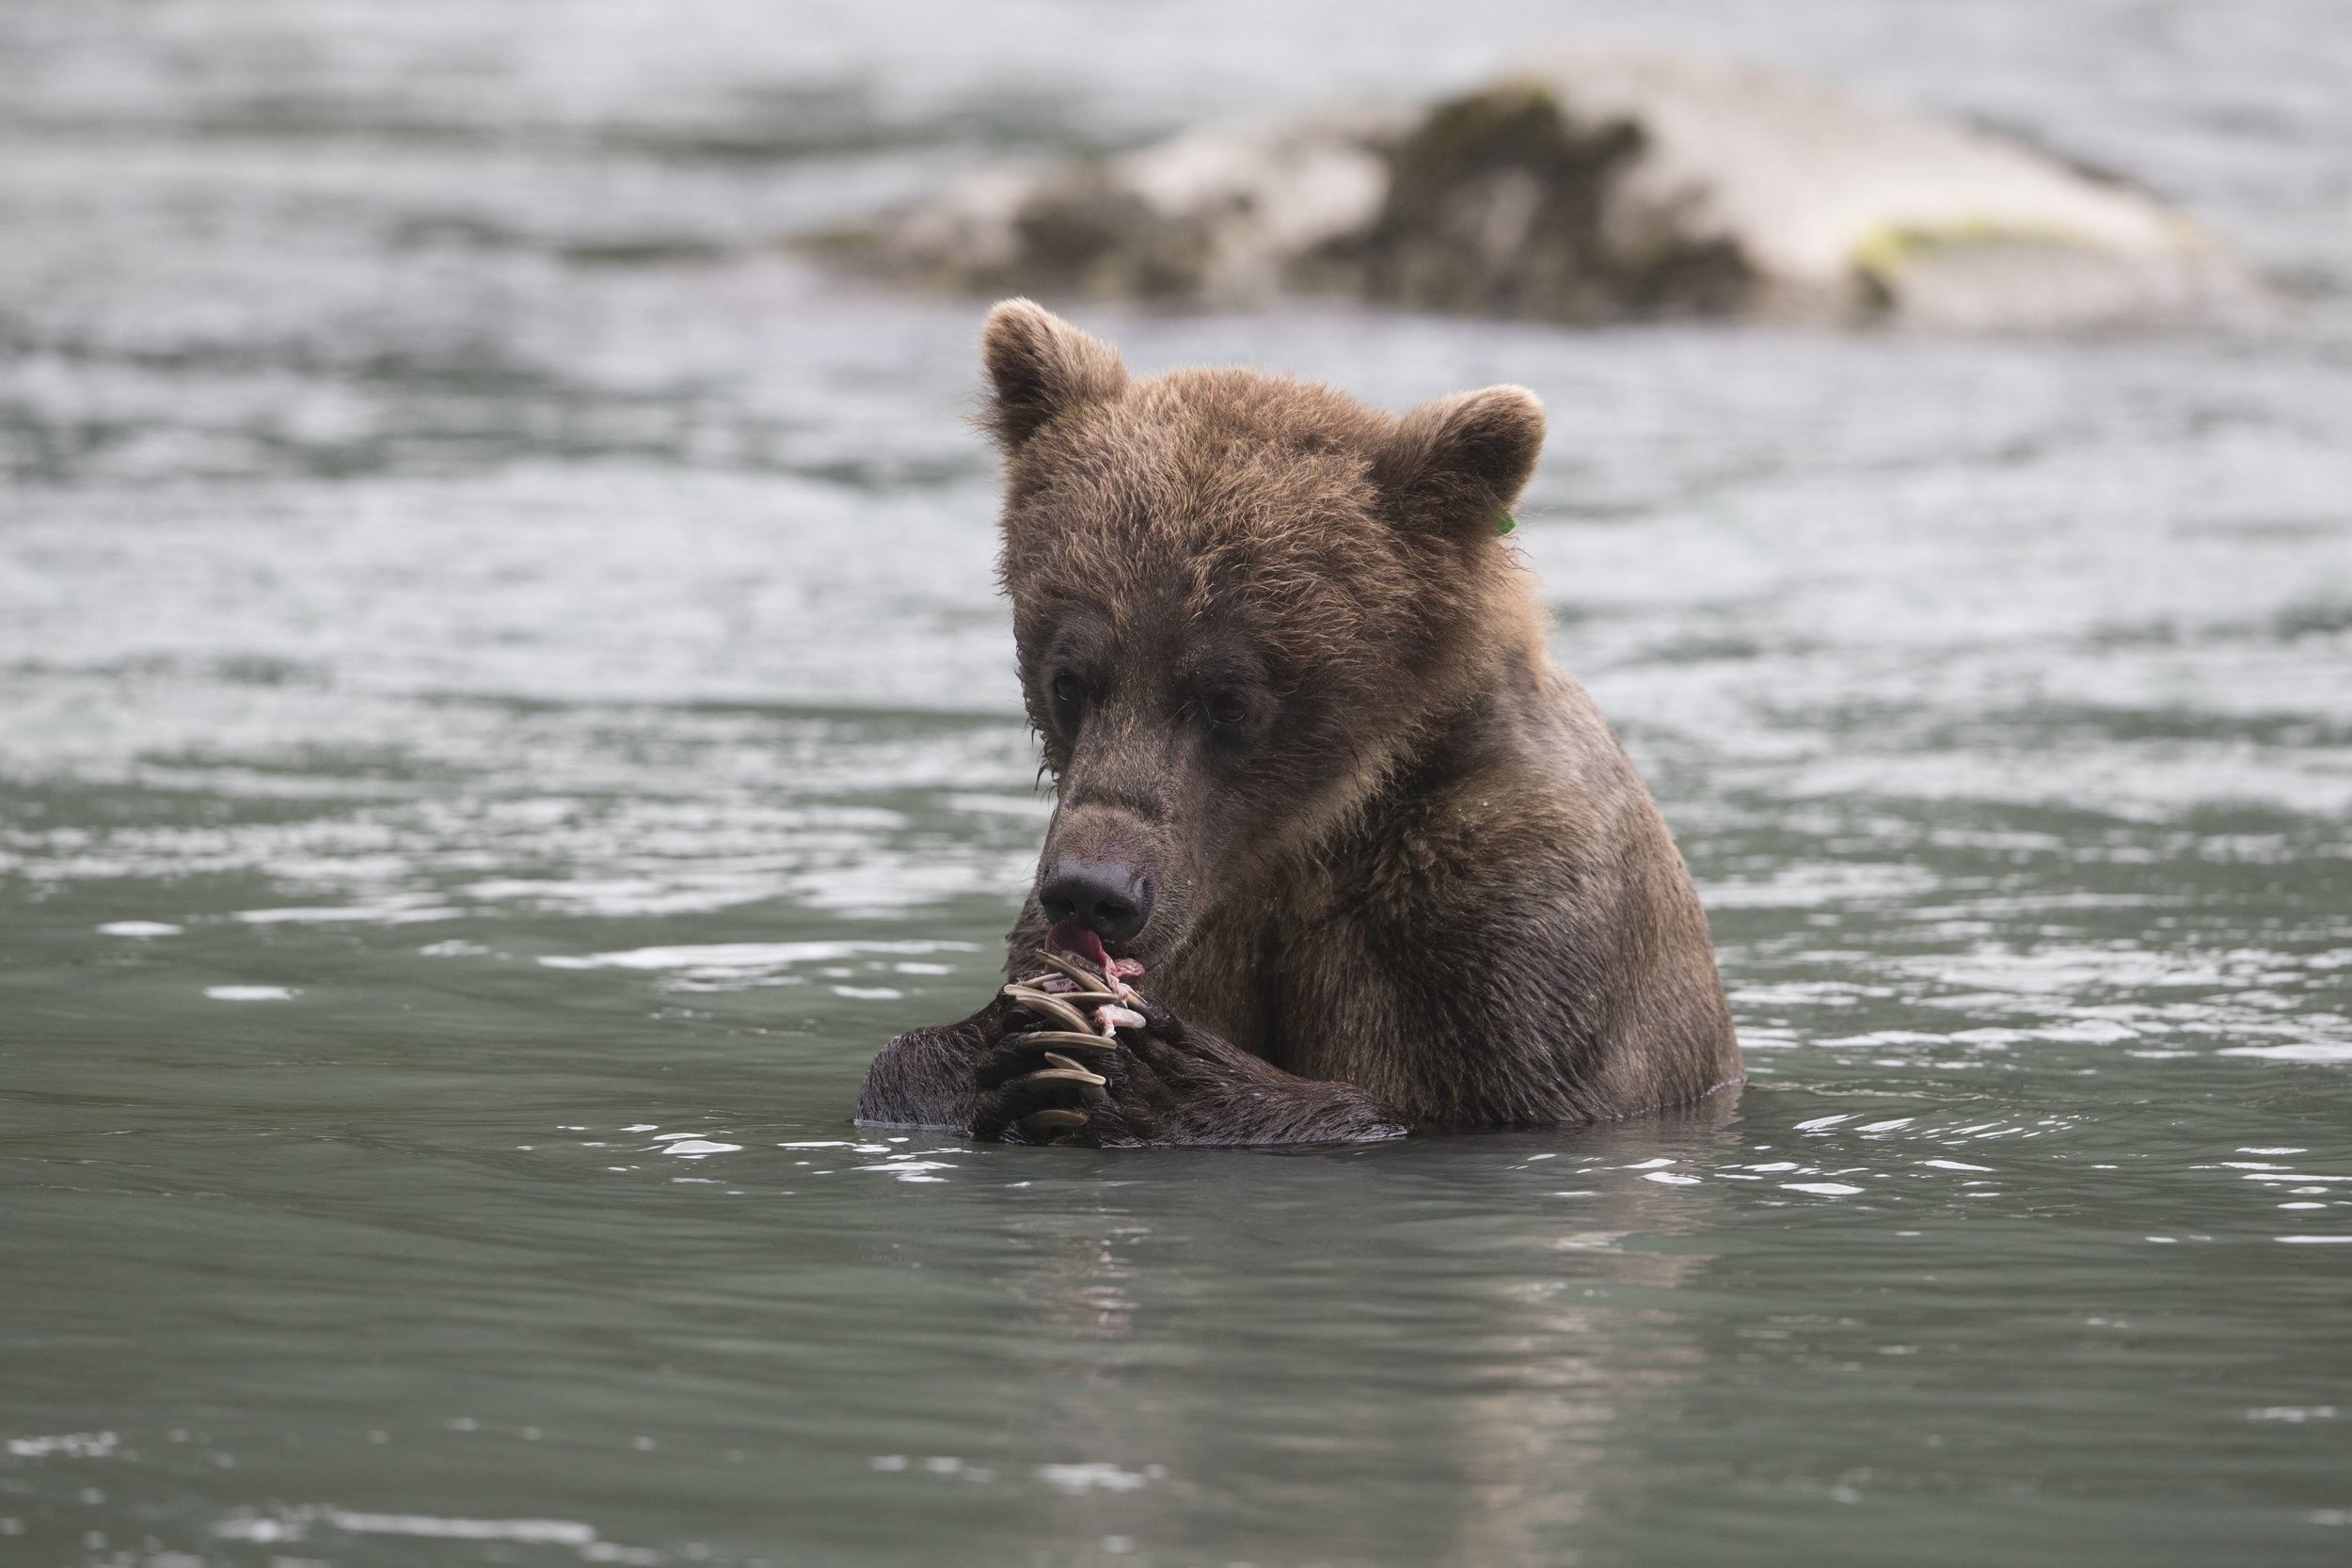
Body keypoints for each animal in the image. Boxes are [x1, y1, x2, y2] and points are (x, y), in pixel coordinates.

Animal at [856, 300, 1740, 1147]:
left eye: (1228, 698)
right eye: (1070, 679)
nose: (1093, 891)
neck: (1307, 839)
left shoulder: (1513, 916)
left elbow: (1477, 1106)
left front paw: (1167, 1075)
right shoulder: (1198, 912)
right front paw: (991, 1045)